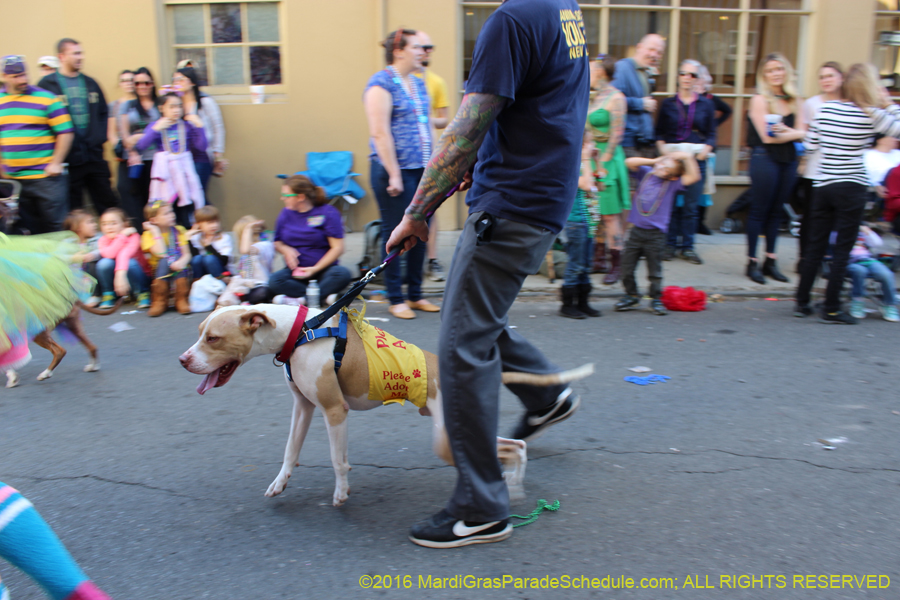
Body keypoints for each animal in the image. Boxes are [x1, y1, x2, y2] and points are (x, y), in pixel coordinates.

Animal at [179, 304, 596, 506]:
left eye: (213, 338)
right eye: (199, 333)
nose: (183, 360)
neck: (300, 331)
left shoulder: (334, 411)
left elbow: (336, 460)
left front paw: (341, 493)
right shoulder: (303, 407)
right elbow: (290, 452)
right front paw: (279, 484)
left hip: (446, 437)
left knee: (512, 448)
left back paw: (511, 485)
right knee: (516, 446)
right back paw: (511, 483)